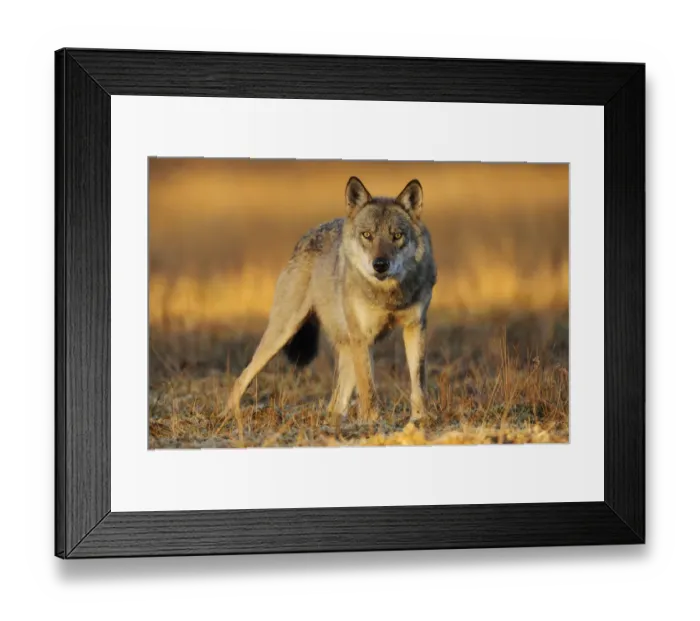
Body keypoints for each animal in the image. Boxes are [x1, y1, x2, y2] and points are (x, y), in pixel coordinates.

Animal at [224, 176, 437, 431]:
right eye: (367, 235)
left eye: (396, 236)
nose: (380, 265)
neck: (388, 296)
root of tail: (306, 236)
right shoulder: (362, 337)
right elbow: (368, 390)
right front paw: (372, 424)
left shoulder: (416, 327)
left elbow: (418, 383)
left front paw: (420, 419)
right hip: (282, 334)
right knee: (241, 379)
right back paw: (230, 418)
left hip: (345, 348)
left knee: (334, 405)